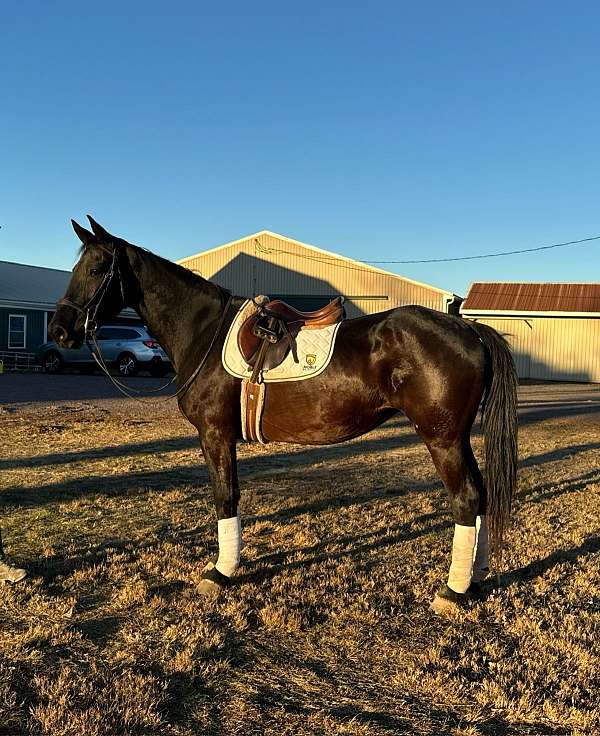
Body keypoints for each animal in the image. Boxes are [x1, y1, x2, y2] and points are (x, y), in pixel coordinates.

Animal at [48, 217, 516, 616]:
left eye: (97, 267)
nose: (60, 331)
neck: (204, 332)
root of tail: (470, 329)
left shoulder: (215, 435)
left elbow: (225, 497)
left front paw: (220, 573)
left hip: (442, 439)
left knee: (466, 498)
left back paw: (452, 592)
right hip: (458, 438)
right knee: (481, 495)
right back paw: (475, 579)